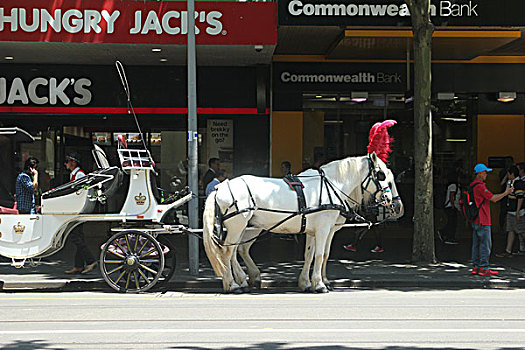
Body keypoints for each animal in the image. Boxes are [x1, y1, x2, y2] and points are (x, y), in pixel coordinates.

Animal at [203, 153, 404, 292]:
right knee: (227, 253)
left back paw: (245, 279)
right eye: (381, 175)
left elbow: (312, 255)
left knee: (238, 250)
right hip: (238, 227)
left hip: (249, 227)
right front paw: (319, 284)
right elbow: (320, 255)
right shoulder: (323, 229)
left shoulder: (317, 230)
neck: (333, 186)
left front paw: (307, 282)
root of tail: (220, 187)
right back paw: (232, 284)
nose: (397, 205)